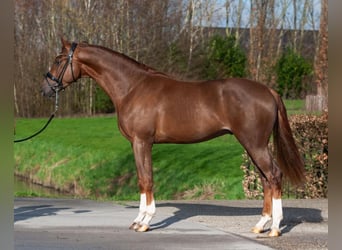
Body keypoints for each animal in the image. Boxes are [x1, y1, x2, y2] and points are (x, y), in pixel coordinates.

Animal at [41, 38, 306, 237]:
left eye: (58, 60)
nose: (46, 89)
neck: (132, 87)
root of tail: (269, 91)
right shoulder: (140, 143)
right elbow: (144, 179)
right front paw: (139, 220)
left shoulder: (142, 142)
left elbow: (145, 179)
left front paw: (143, 222)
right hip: (252, 145)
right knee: (265, 180)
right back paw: (260, 225)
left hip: (254, 144)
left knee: (274, 175)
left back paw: (275, 228)